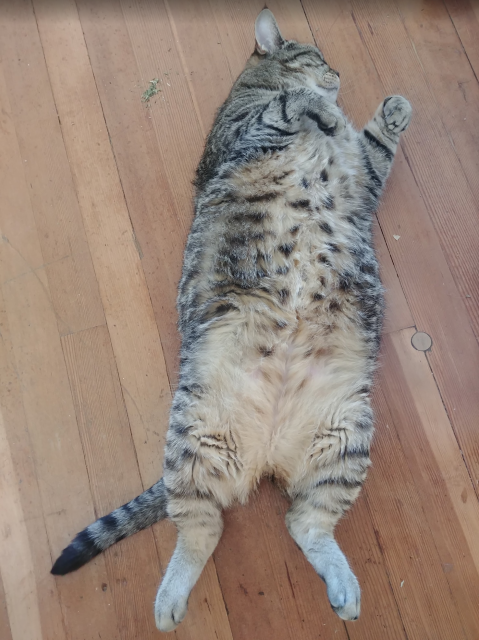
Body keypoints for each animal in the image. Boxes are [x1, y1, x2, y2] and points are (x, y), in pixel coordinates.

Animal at [51, 7, 412, 632]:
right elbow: (293, 105)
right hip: (196, 439)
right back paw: (170, 600)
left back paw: (342, 587)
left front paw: (386, 111)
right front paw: (322, 106)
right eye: (317, 54)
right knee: (201, 530)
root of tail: (267, 451)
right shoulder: (248, 132)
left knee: (303, 522)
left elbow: (372, 145)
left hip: (345, 437)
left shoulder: (361, 176)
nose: (339, 72)